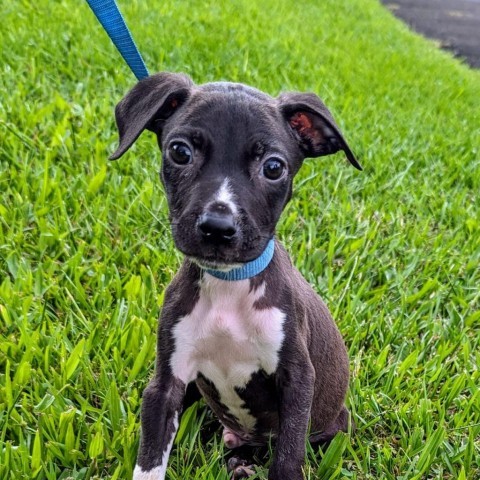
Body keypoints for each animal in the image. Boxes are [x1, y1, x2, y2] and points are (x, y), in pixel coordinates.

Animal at [111, 72, 360, 480]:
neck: (229, 286)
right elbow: (149, 460)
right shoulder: (166, 385)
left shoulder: (297, 382)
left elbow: (288, 459)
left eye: (273, 168)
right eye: (180, 152)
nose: (217, 227)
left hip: (334, 425)